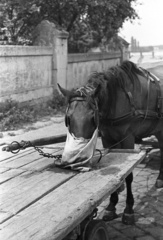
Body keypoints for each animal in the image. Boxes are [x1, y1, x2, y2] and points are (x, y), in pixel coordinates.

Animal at [58, 60, 163, 225]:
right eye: (68, 118)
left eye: (92, 117)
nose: (78, 159)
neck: (116, 100)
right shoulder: (108, 138)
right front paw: (111, 205)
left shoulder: (128, 138)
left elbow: (128, 175)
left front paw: (128, 210)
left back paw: (159, 178)